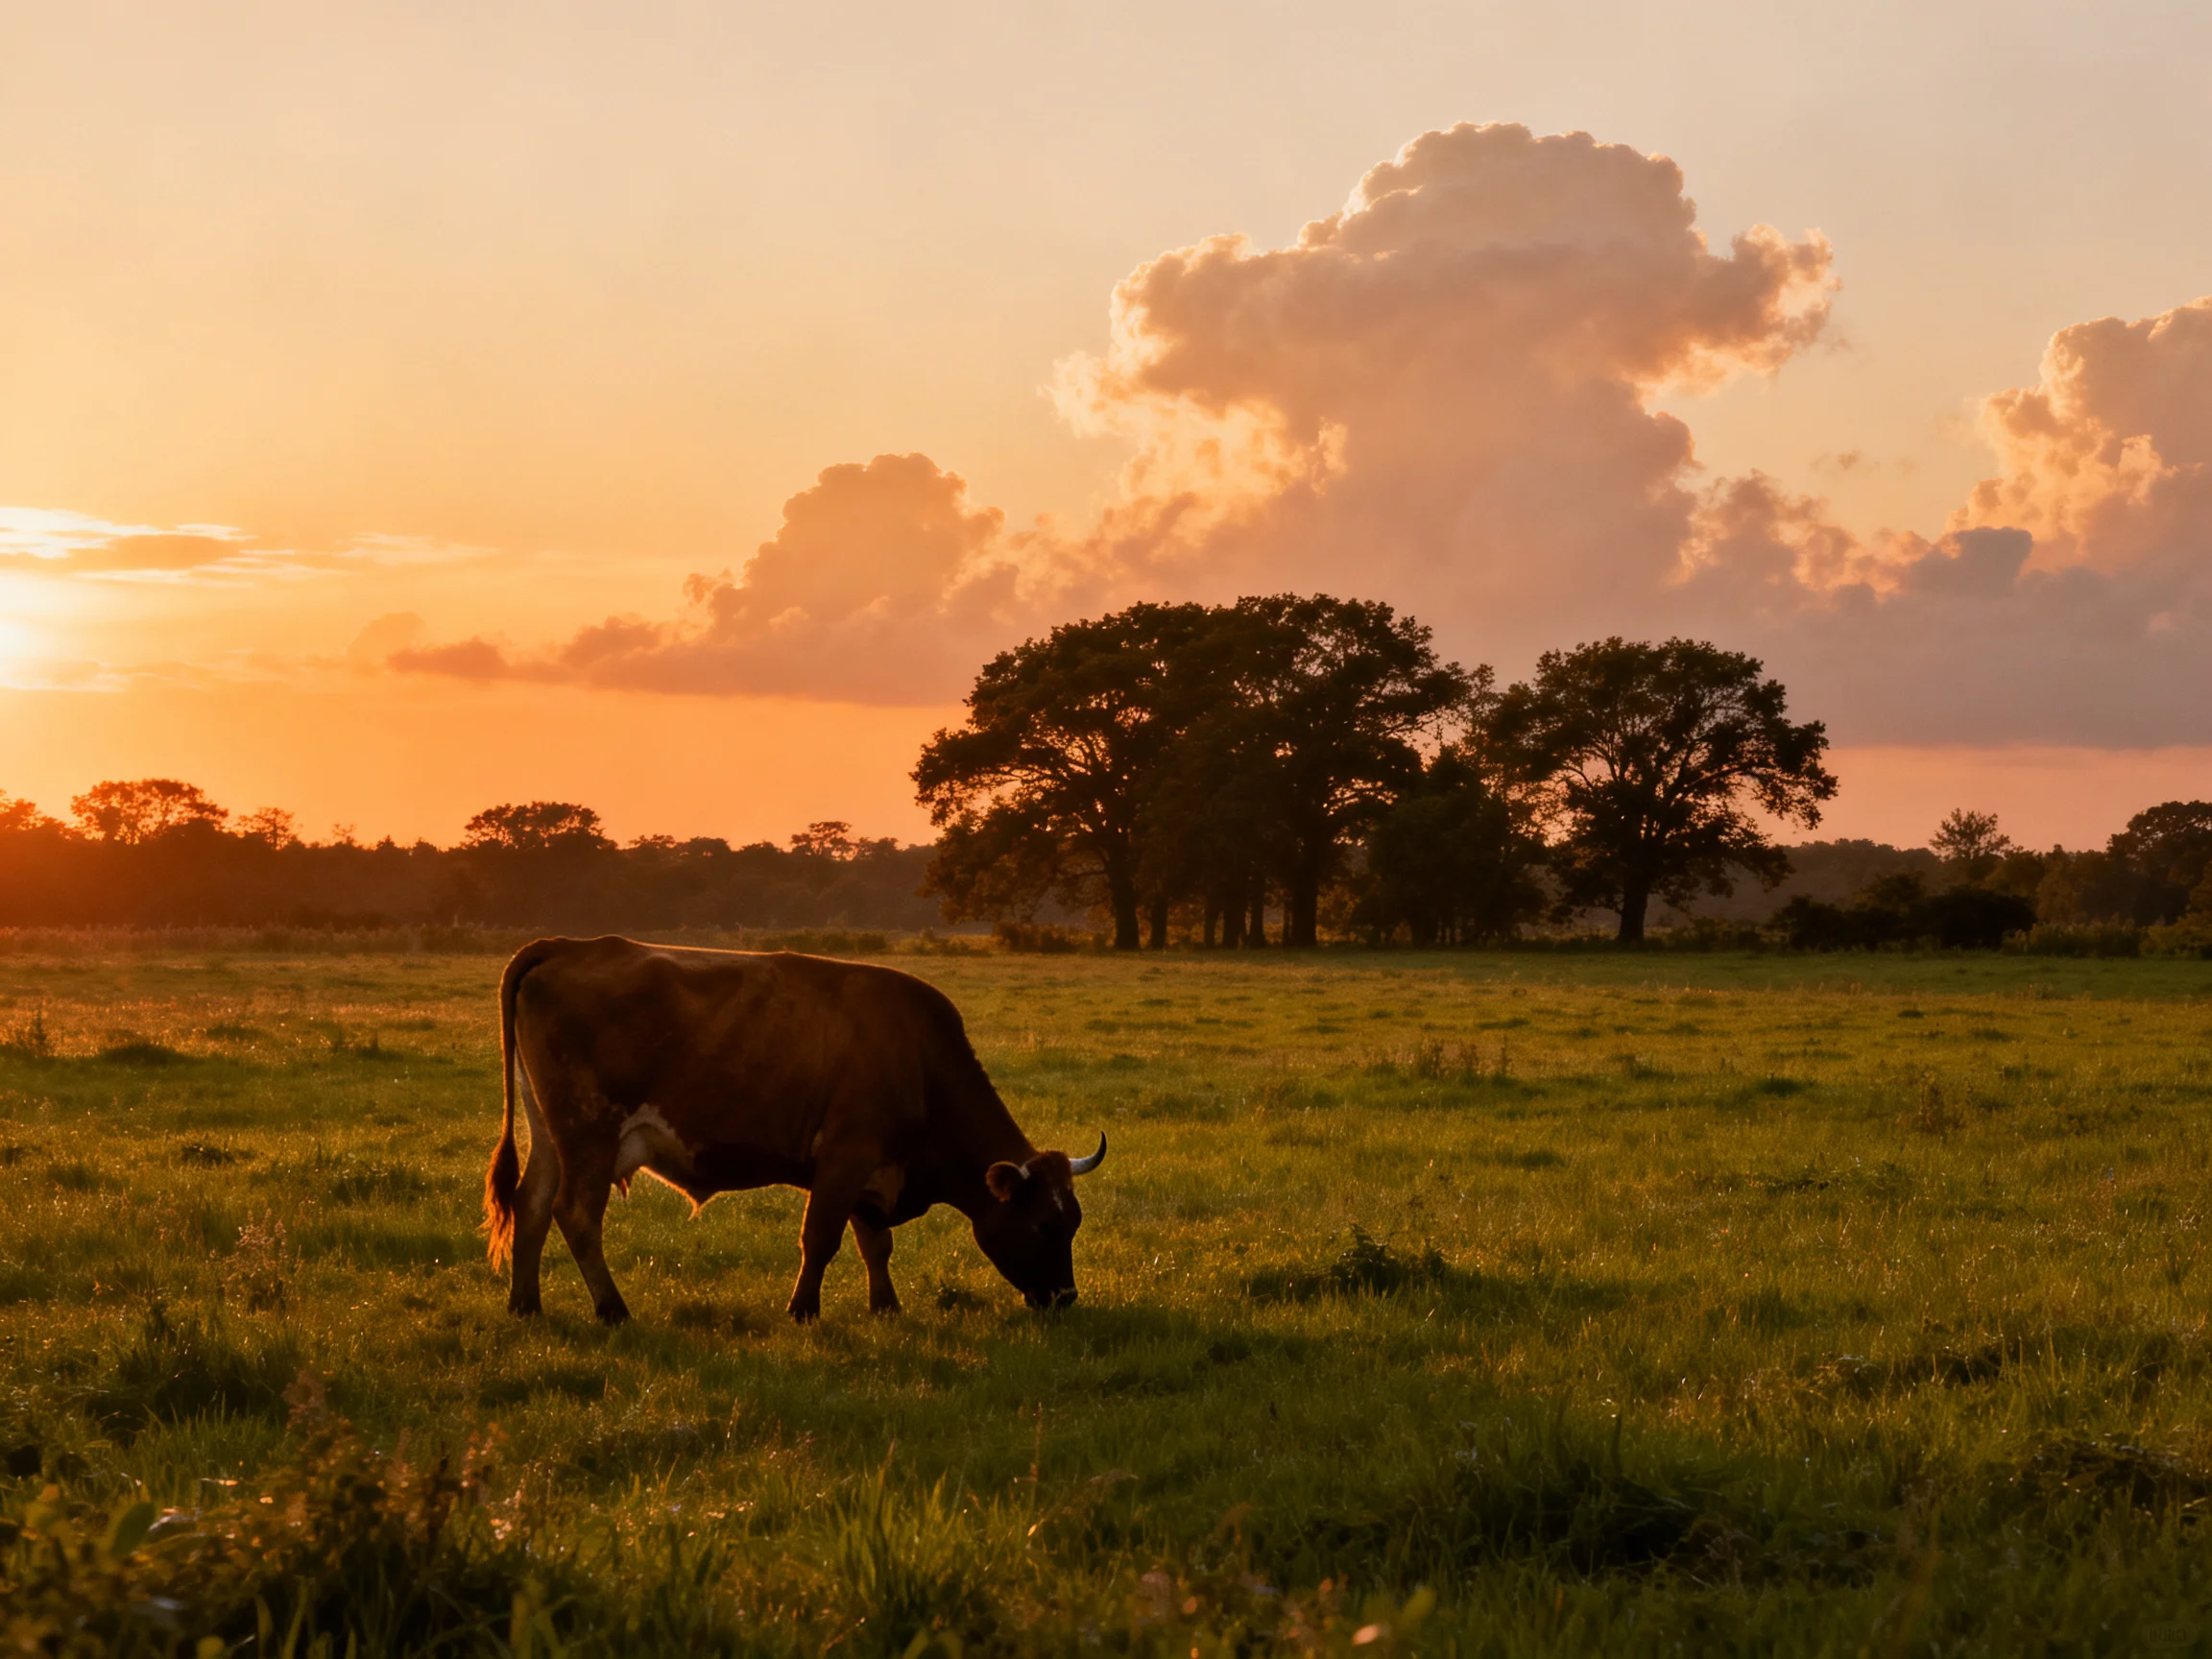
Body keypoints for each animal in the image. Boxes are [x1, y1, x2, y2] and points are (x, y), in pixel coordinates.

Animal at [481, 935, 1105, 1324]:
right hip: (589, 1131)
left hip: (552, 1133)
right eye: (1045, 1224)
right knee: (575, 1214)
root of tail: (568, 946)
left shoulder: (868, 1170)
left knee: (531, 1205)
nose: (1066, 1297)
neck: (917, 1056)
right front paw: (803, 1310)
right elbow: (822, 1238)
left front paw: (886, 1306)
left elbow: (875, 1244)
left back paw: (526, 1304)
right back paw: (613, 1310)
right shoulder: (846, 1156)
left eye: (1074, 1220)